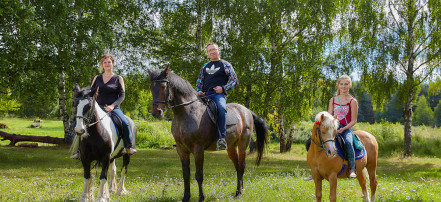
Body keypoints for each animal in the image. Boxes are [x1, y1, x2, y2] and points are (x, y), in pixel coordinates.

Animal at [147, 67, 268, 201]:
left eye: (163, 86)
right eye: (151, 87)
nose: (156, 113)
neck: (186, 113)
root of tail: (246, 111)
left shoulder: (198, 149)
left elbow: (199, 175)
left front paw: (201, 198)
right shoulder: (181, 149)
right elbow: (186, 175)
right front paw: (186, 197)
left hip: (243, 145)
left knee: (241, 166)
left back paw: (239, 193)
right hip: (231, 147)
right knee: (237, 166)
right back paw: (238, 191)